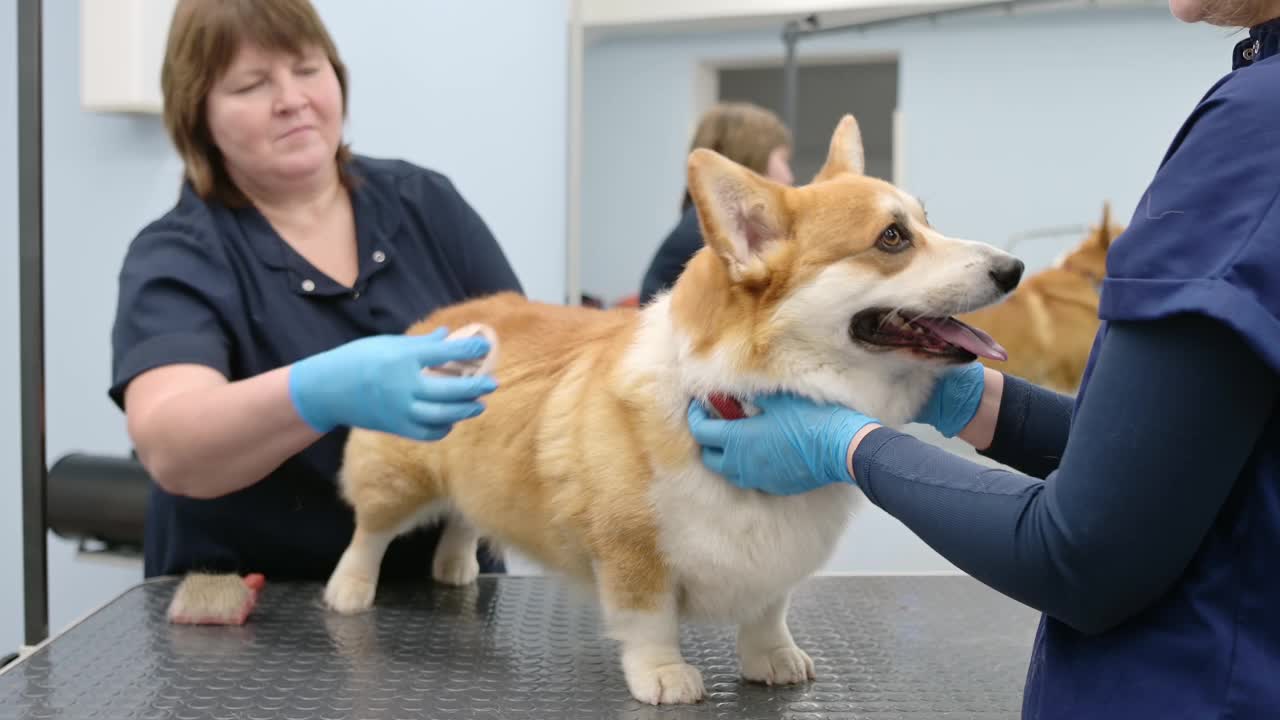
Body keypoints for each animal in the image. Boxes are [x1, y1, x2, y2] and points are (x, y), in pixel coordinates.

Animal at [325, 114, 1024, 702]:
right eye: (892, 238)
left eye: (926, 221)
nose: (1013, 268)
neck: (737, 396)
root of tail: (444, 317)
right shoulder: (632, 551)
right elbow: (648, 620)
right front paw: (664, 677)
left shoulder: (775, 564)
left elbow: (768, 613)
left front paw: (773, 659)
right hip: (398, 477)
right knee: (370, 532)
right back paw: (350, 590)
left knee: (464, 517)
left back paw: (455, 568)